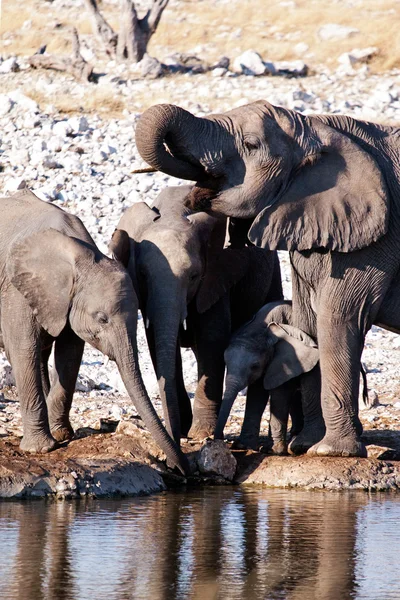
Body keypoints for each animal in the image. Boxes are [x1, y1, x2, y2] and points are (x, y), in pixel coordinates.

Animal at [109, 185, 282, 442]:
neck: (173, 213)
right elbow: (157, 344)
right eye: (142, 274)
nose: (175, 440)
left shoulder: (215, 278)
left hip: (272, 275)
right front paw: (181, 430)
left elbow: (212, 338)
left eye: (193, 276)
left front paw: (201, 433)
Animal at [216, 300, 318, 454]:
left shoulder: (288, 359)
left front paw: (274, 450)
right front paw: (243, 446)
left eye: (255, 366)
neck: (262, 327)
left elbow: (280, 394)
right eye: (225, 362)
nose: (216, 440)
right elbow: (256, 395)